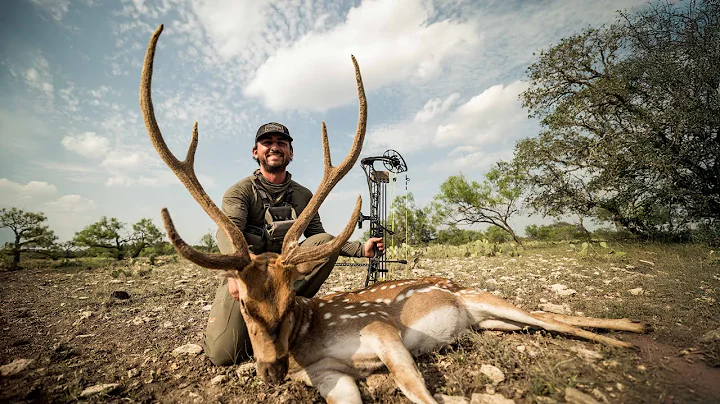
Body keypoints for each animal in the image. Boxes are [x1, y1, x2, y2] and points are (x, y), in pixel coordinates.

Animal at [140, 25, 649, 404]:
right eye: (245, 304)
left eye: (289, 301)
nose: (272, 370)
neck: (310, 343)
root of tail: (457, 284)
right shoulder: (329, 377)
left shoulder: (381, 330)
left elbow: (417, 391)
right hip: (488, 320)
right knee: (542, 319)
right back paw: (635, 326)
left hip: (482, 298)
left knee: (554, 319)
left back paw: (630, 337)